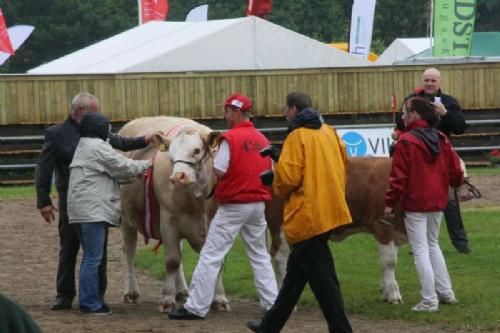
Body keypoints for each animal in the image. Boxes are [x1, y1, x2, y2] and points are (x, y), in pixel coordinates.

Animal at [266, 156, 406, 304]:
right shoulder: (382, 226)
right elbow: (390, 262)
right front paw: (393, 295)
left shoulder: (394, 232)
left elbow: (387, 262)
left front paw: (385, 291)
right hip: (279, 223)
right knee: (279, 255)